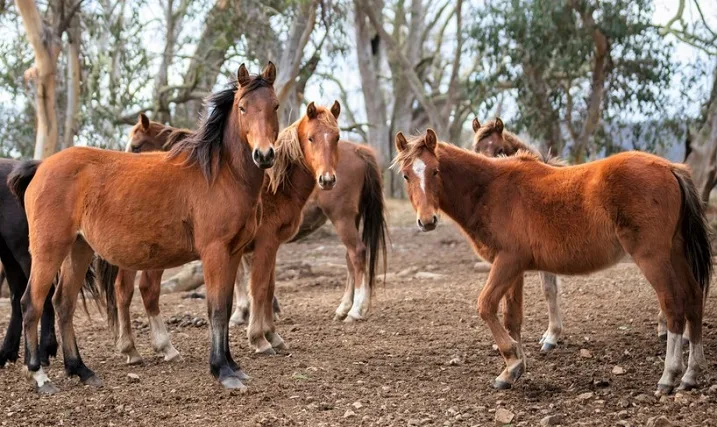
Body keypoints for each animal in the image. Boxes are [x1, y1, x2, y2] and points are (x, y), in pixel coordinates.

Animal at [9, 61, 282, 392]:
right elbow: (216, 309)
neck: (219, 174)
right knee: (32, 304)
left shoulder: (233, 254)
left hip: (78, 250)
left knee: (63, 303)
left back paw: (81, 369)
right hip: (49, 251)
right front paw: (222, 370)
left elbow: (227, 307)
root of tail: (41, 167)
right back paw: (39, 375)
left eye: (274, 105)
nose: (264, 155)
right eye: (243, 107)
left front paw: (233, 366)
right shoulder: (215, 253)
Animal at [392, 130, 712, 394]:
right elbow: (512, 318)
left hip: (653, 257)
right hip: (676, 253)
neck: (492, 190)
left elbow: (486, 306)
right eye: (406, 176)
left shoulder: (507, 263)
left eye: (435, 171)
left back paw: (669, 377)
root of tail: (670, 168)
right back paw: (690, 375)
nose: (427, 221)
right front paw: (513, 369)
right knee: (694, 299)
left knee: (673, 306)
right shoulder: (513, 269)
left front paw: (512, 362)